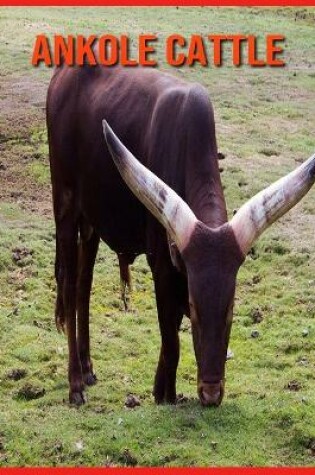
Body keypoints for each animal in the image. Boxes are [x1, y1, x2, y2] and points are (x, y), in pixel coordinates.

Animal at [47, 65, 315, 410]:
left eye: (230, 309)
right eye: (194, 307)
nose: (211, 393)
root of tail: (62, 73)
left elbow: (170, 334)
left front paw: (163, 390)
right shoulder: (162, 265)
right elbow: (171, 341)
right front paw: (166, 397)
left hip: (92, 216)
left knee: (83, 284)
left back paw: (87, 367)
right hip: (65, 203)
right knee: (69, 287)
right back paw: (75, 384)